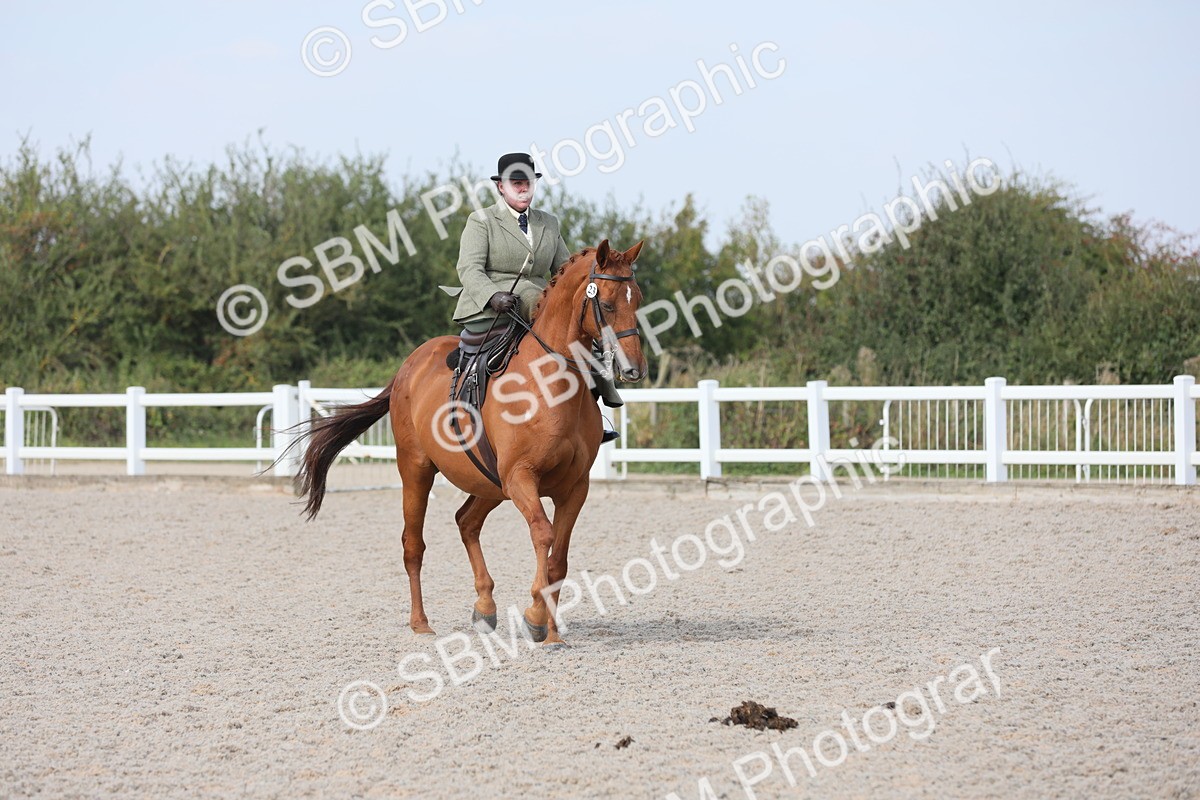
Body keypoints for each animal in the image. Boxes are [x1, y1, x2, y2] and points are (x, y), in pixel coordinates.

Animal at [294, 239, 647, 645]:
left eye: (637, 299)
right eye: (607, 303)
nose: (634, 369)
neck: (550, 384)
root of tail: (409, 365)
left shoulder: (575, 487)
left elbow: (559, 558)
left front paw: (553, 633)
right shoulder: (521, 477)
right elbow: (543, 533)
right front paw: (535, 618)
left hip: (488, 482)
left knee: (466, 522)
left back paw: (484, 607)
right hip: (418, 471)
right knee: (413, 545)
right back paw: (421, 622)